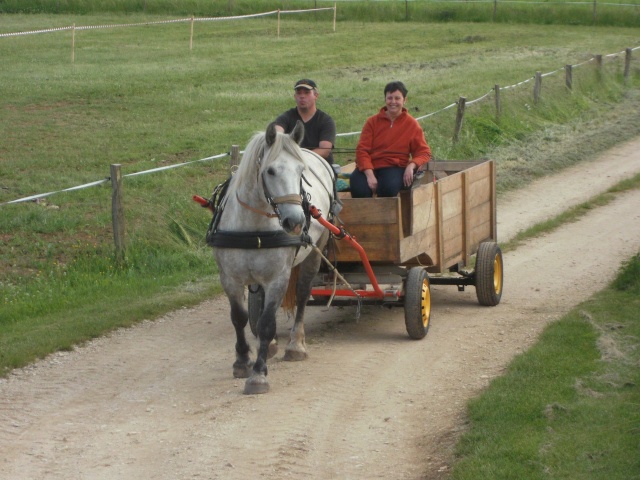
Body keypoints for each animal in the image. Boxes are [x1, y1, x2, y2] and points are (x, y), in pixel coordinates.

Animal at [209, 120, 340, 394]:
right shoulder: (229, 278)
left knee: (302, 294)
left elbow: (268, 322)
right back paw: (268, 346)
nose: (296, 221)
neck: (253, 225)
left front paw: (258, 375)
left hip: (315, 251)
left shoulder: (277, 278)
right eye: (270, 171)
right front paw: (242, 361)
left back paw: (295, 344)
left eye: (301, 171)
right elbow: (239, 318)